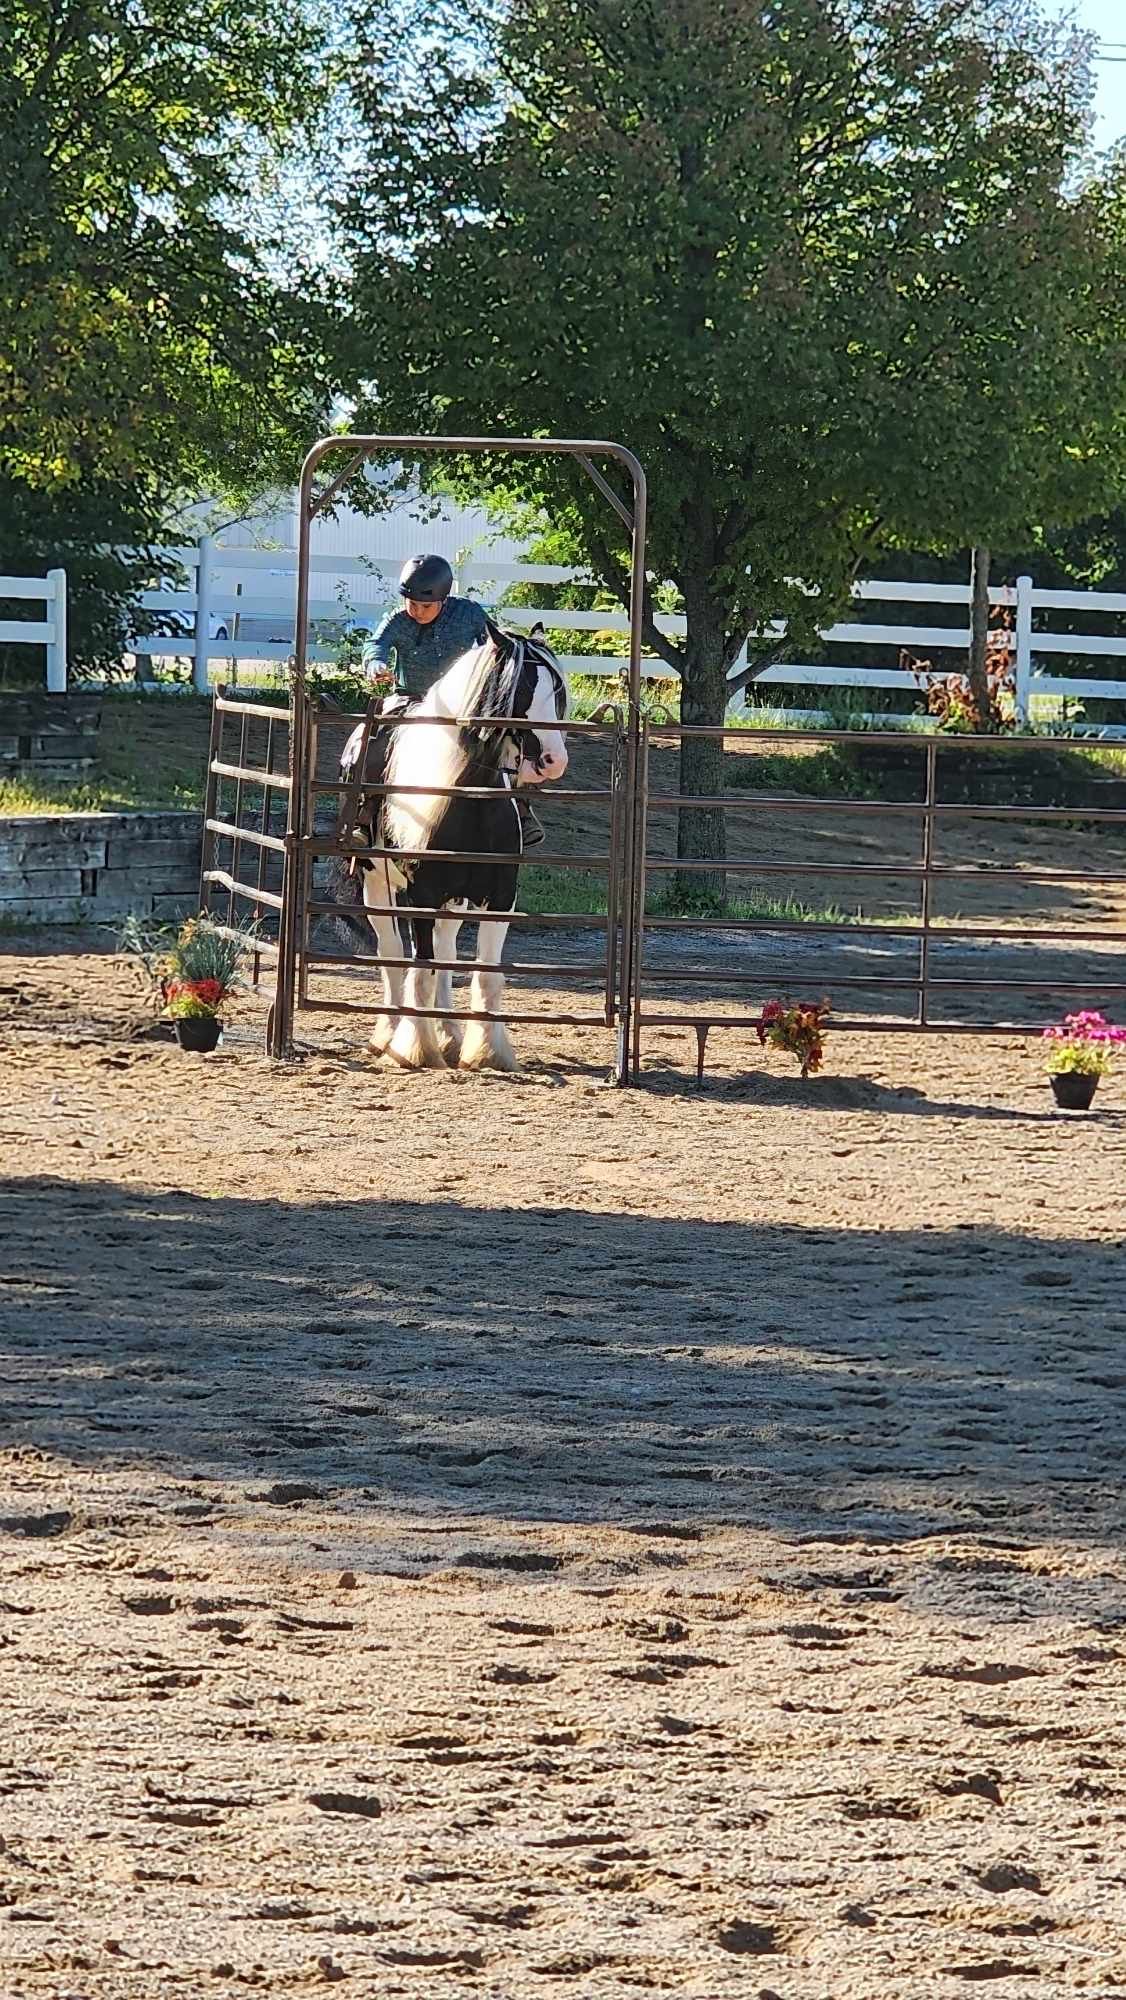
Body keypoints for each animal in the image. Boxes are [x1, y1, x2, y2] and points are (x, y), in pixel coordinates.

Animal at [338, 616, 568, 1072]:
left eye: (556, 690)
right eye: (521, 689)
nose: (554, 760)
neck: (468, 801)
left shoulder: (500, 898)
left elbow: (485, 975)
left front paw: (488, 1052)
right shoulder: (422, 897)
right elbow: (419, 972)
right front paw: (415, 1048)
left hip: (455, 901)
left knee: (445, 951)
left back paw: (448, 1035)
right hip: (377, 888)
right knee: (393, 955)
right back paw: (389, 1035)